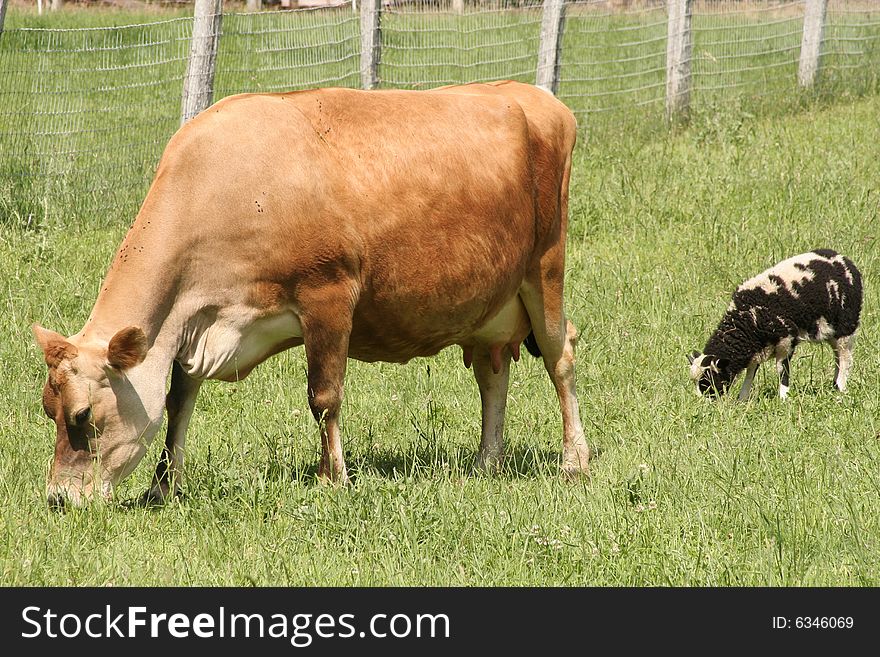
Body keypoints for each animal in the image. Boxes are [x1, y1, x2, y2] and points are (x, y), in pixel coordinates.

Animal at [32, 79, 592, 504]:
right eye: (47, 409)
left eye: (83, 415)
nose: (58, 499)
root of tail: (534, 95)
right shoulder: (193, 326)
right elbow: (176, 404)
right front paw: (163, 487)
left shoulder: (329, 294)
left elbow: (324, 397)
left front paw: (332, 479)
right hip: (488, 304)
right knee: (492, 374)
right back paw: (486, 461)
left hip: (546, 267)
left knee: (560, 355)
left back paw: (574, 460)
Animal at [688, 247, 860, 398]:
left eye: (708, 380)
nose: (703, 403)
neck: (747, 319)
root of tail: (844, 259)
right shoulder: (757, 347)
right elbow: (750, 372)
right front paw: (742, 398)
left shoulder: (786, 341)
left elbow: (782, 370)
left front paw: (783, 397)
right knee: (838, 357)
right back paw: (834, 385)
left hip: (846, 328)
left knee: (845, 358)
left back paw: (840, 388)